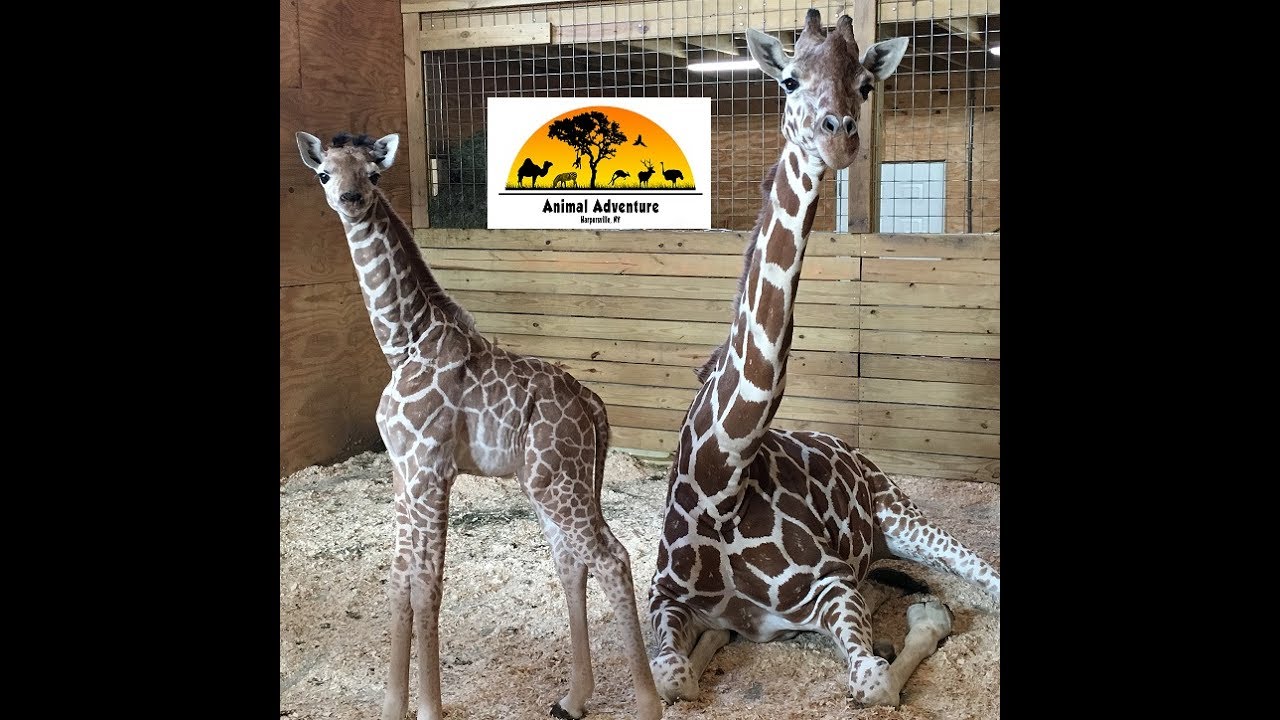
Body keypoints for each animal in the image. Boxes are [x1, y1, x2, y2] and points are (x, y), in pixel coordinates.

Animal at [295, 131, 662, 720]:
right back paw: (573, 698)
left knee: (611, 557)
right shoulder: (401, 471)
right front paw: (392, 705)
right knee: (571, 562)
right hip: (551, 482)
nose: (351, 199)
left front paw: (427, 708)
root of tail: (595, 407)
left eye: (373, 174)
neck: (403, 344)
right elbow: (398, 577)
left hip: (558, 482)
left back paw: (647, 704)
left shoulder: (430, 469)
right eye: (325, 173)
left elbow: (427, 583)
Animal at [645, 10, 1000, 709]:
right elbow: (673, 678)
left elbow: (874, 682)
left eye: (865, 83)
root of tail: (850, 449)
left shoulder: (833, 583)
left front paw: (908, 629)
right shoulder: (663, 595)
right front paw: (715, 641)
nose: (839, 139)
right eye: (788, 78)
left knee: (982, 576)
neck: (724, 477)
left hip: (900, 513)